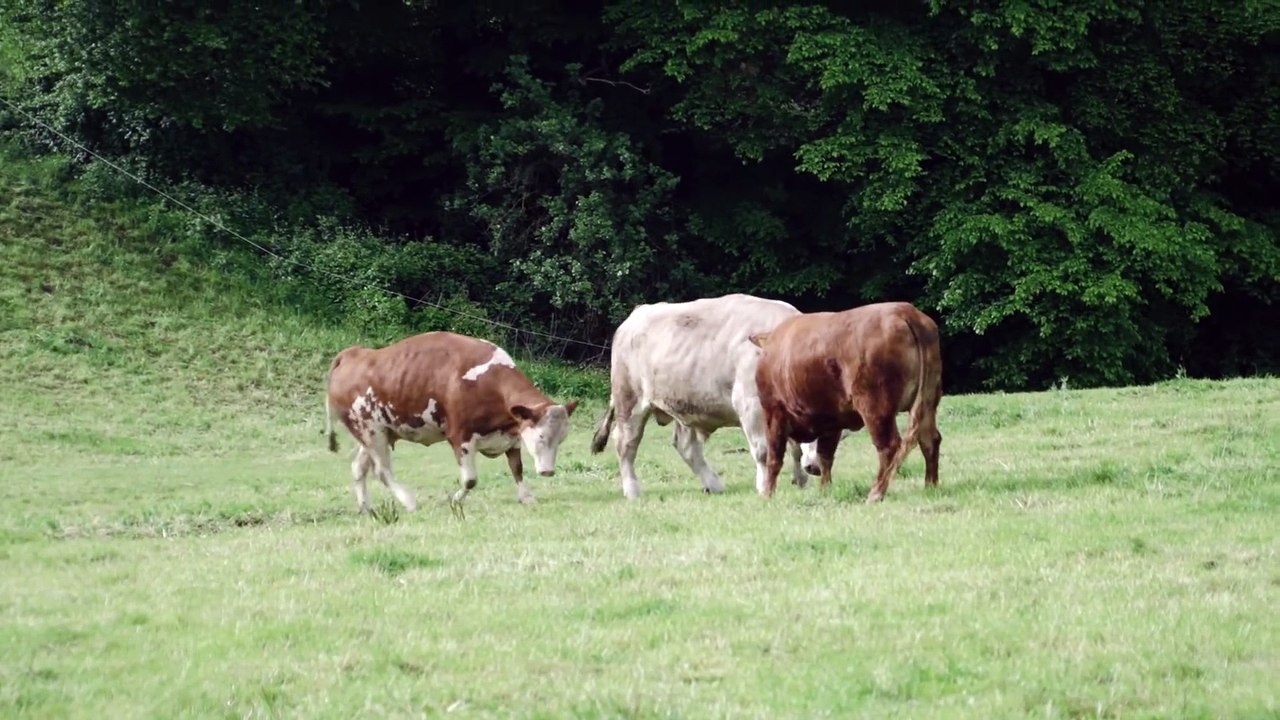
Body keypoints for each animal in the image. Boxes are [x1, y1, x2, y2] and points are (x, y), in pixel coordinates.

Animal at [323, 331, 578, 511]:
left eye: (562, 439)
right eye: (541, 436)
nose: (548, 471)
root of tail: (354, 354)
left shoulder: (512, 437)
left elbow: (517, 469)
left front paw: (527, 497)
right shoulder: (460, 437)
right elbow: (470, 480)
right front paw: (454, 501)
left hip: (379, 432)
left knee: (359, 467)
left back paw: (366, 507)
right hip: (370, 431)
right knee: (382, 471)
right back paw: (409, 502)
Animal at [590, 293, 815, 499]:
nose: (815, 467)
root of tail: (637, 314)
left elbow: (795, 448)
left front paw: (801, 480)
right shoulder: (750, 404)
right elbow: (764, 450)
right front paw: (765, 487)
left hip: (684, 403)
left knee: (686, 446)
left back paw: (713, 484)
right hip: (629, 400)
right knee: (626, 442)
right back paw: (632, 491)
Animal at [750, 302, 943, 502]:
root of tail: (904, 310)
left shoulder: (774, 412)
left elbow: (774, 458)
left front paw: (767, 494)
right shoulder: (831, 419)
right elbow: (825, 456)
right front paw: (825, 490)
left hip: (876, 407)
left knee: (889, 446)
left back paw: (876, 493)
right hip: (928, 401)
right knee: (930, 440)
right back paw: (930, 486)